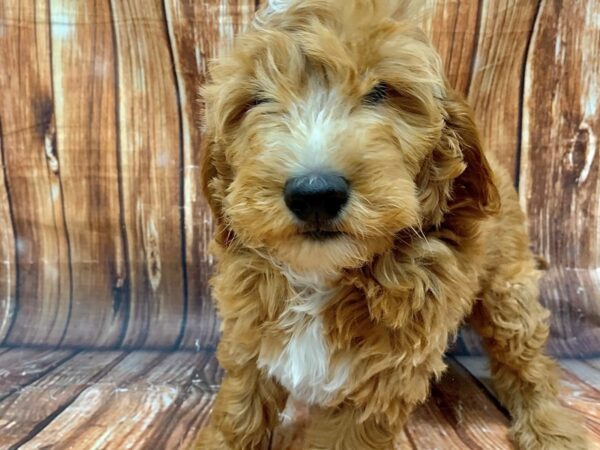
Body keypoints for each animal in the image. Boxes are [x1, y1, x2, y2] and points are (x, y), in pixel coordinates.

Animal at [196, 0, 584, 450]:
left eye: (381, 93)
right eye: (257, 100)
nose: (315, 194)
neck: (321, 277)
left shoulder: (381, 380)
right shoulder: (250, 340)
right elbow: (239, 412)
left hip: (509, 292)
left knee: (527, 362)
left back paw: (550, 427)